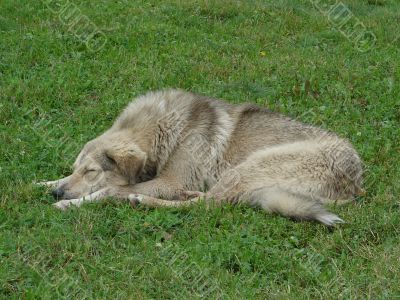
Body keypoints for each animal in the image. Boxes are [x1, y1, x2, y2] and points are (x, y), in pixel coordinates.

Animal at [39, 89, 364, 225]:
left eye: (92, 171)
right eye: (76, 168)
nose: (58, 194)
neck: (166, 128)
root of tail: (356, 186)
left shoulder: (170, 182)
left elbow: (108, 190)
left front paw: (70, 204)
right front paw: (43, 184)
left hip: (248, 167)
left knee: (209, 206)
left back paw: (143, 200)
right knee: (207, 200)